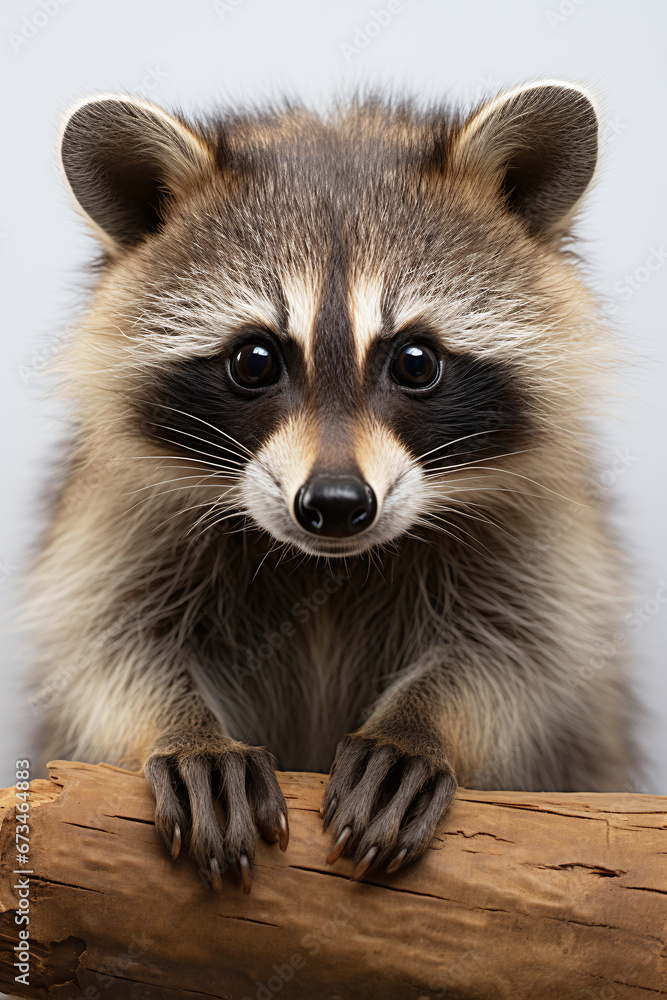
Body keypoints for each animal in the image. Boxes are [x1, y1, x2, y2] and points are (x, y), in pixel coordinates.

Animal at [30, 81, 635, 892]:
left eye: (415, 361)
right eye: (253, 360)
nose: (337, 506)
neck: (328, 568)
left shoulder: (543, 527)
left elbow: (528, 657)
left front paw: (420, 724)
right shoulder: (115, 518)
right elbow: (106, 650)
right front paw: (183, 730)